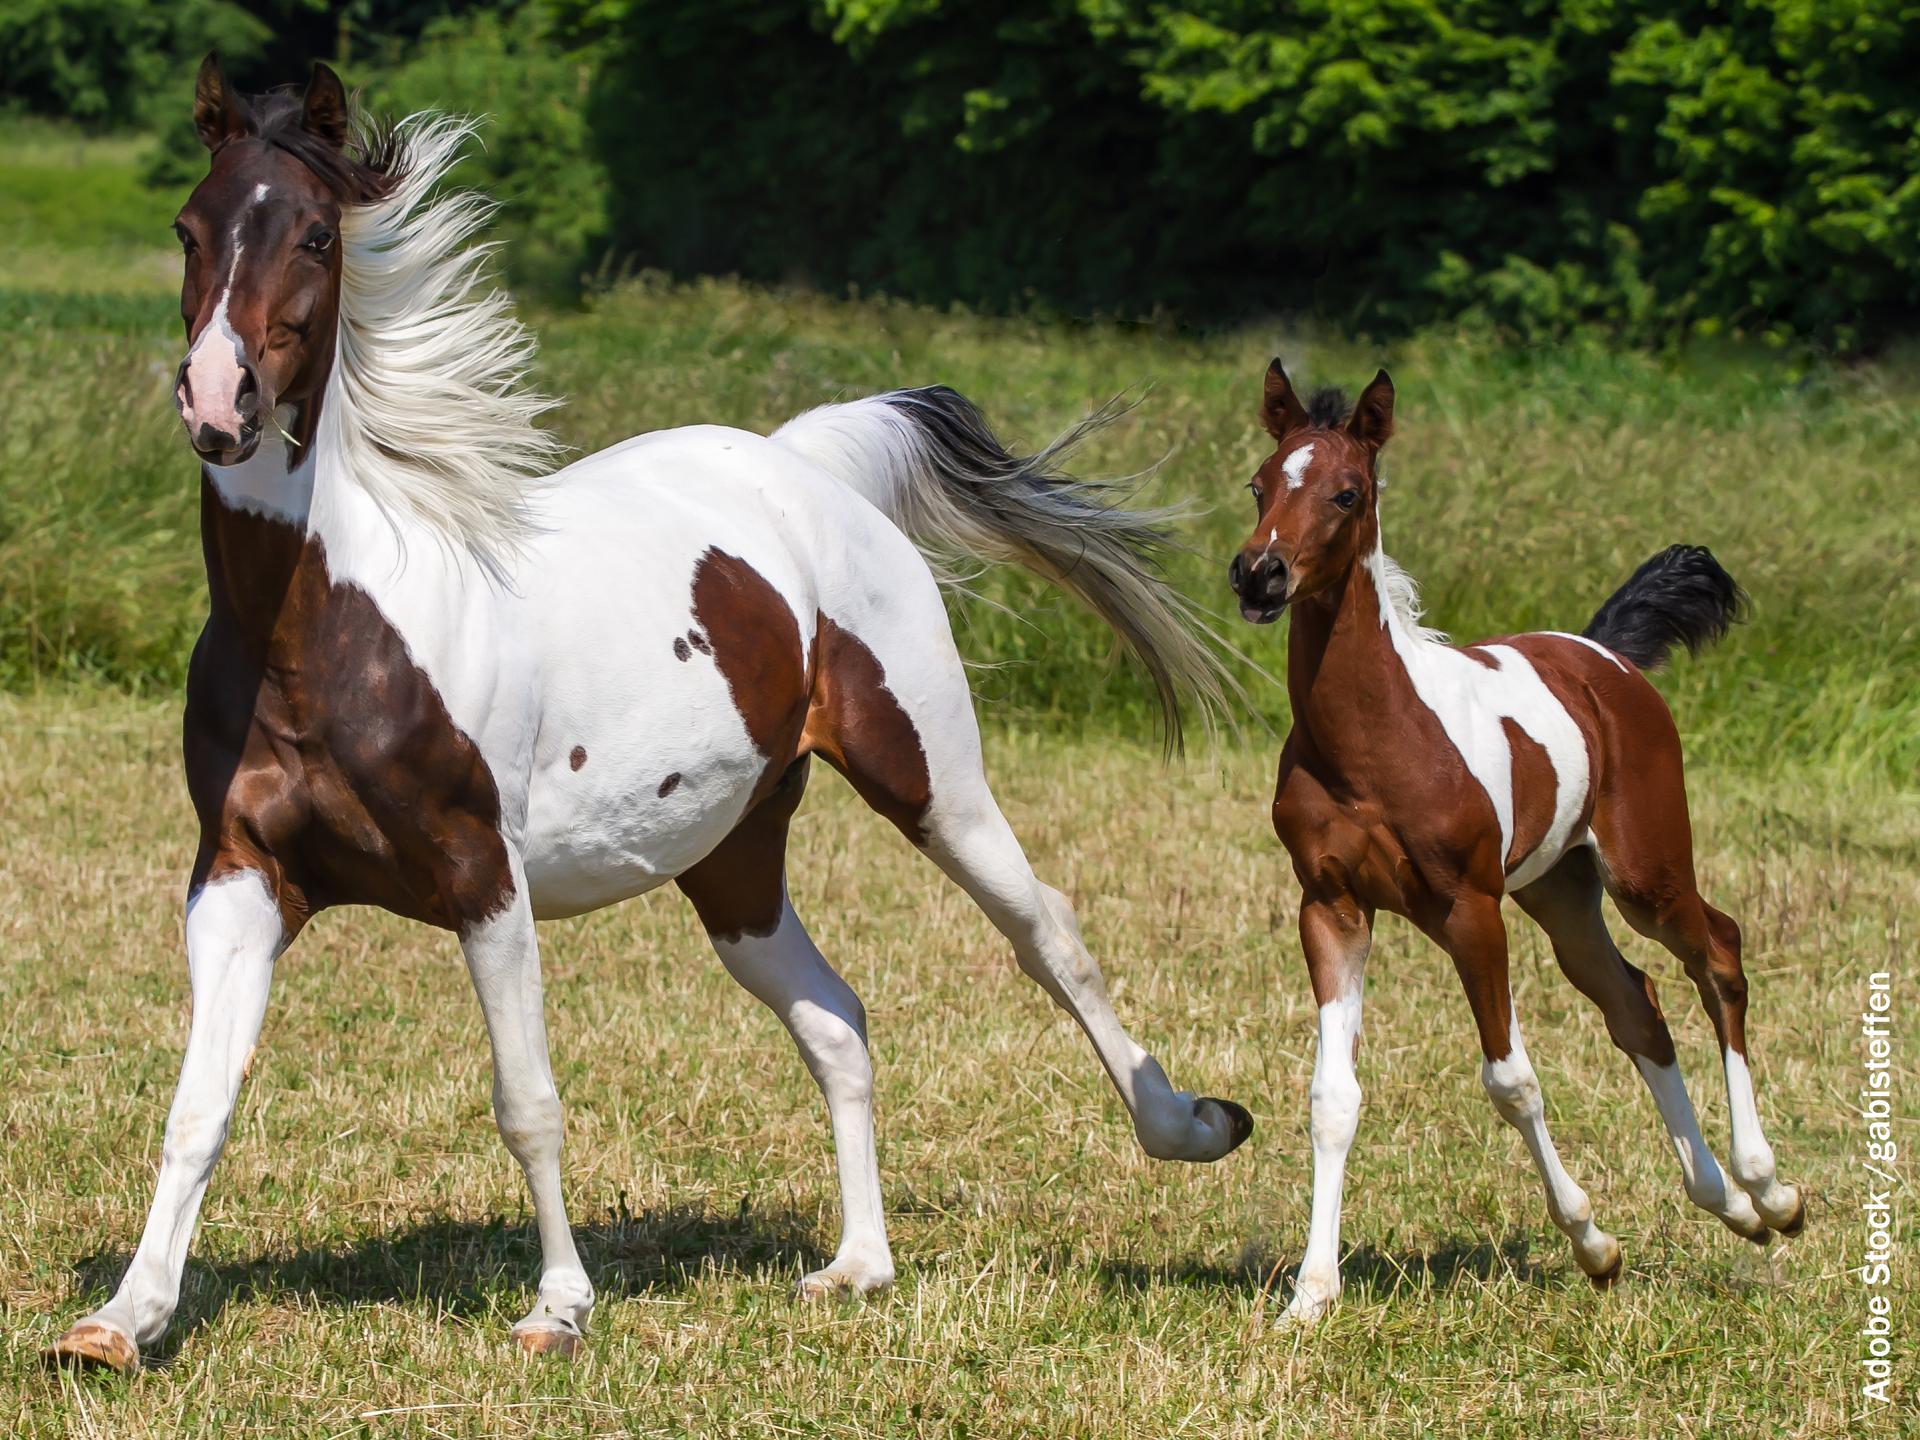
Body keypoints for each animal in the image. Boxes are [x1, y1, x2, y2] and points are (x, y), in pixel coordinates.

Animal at [44, 58, 1254, 1372]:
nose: (220, 405)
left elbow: (526, 1102)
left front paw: (559, 1307)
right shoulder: (241, 876)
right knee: (837, 1019)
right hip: (734, 862)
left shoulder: (484, 879)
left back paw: (1191, 1127)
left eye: (316, 233)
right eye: (189, 228)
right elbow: (198, 1107)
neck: (327, 627)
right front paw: (119, 1321)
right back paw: (857, 1266)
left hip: (933, 780)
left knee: (1048, 937)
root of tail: (801, 461)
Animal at [1225, 359, 1805, 1325]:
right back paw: (1723, 1201)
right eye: (1260, 484)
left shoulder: (1472, 909)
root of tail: (1607, 659)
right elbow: (1332, 1095)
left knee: (1716, 952)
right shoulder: (1332, 906)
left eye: (1348, 493)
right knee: (1635, 1004)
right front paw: (1310, 1294)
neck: (1373, 739)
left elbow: (1510, 1078)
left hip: (1645, 873)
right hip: (1562, 893)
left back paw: (1769, 1190)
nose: (1258, 575)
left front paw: (1593, 1241)